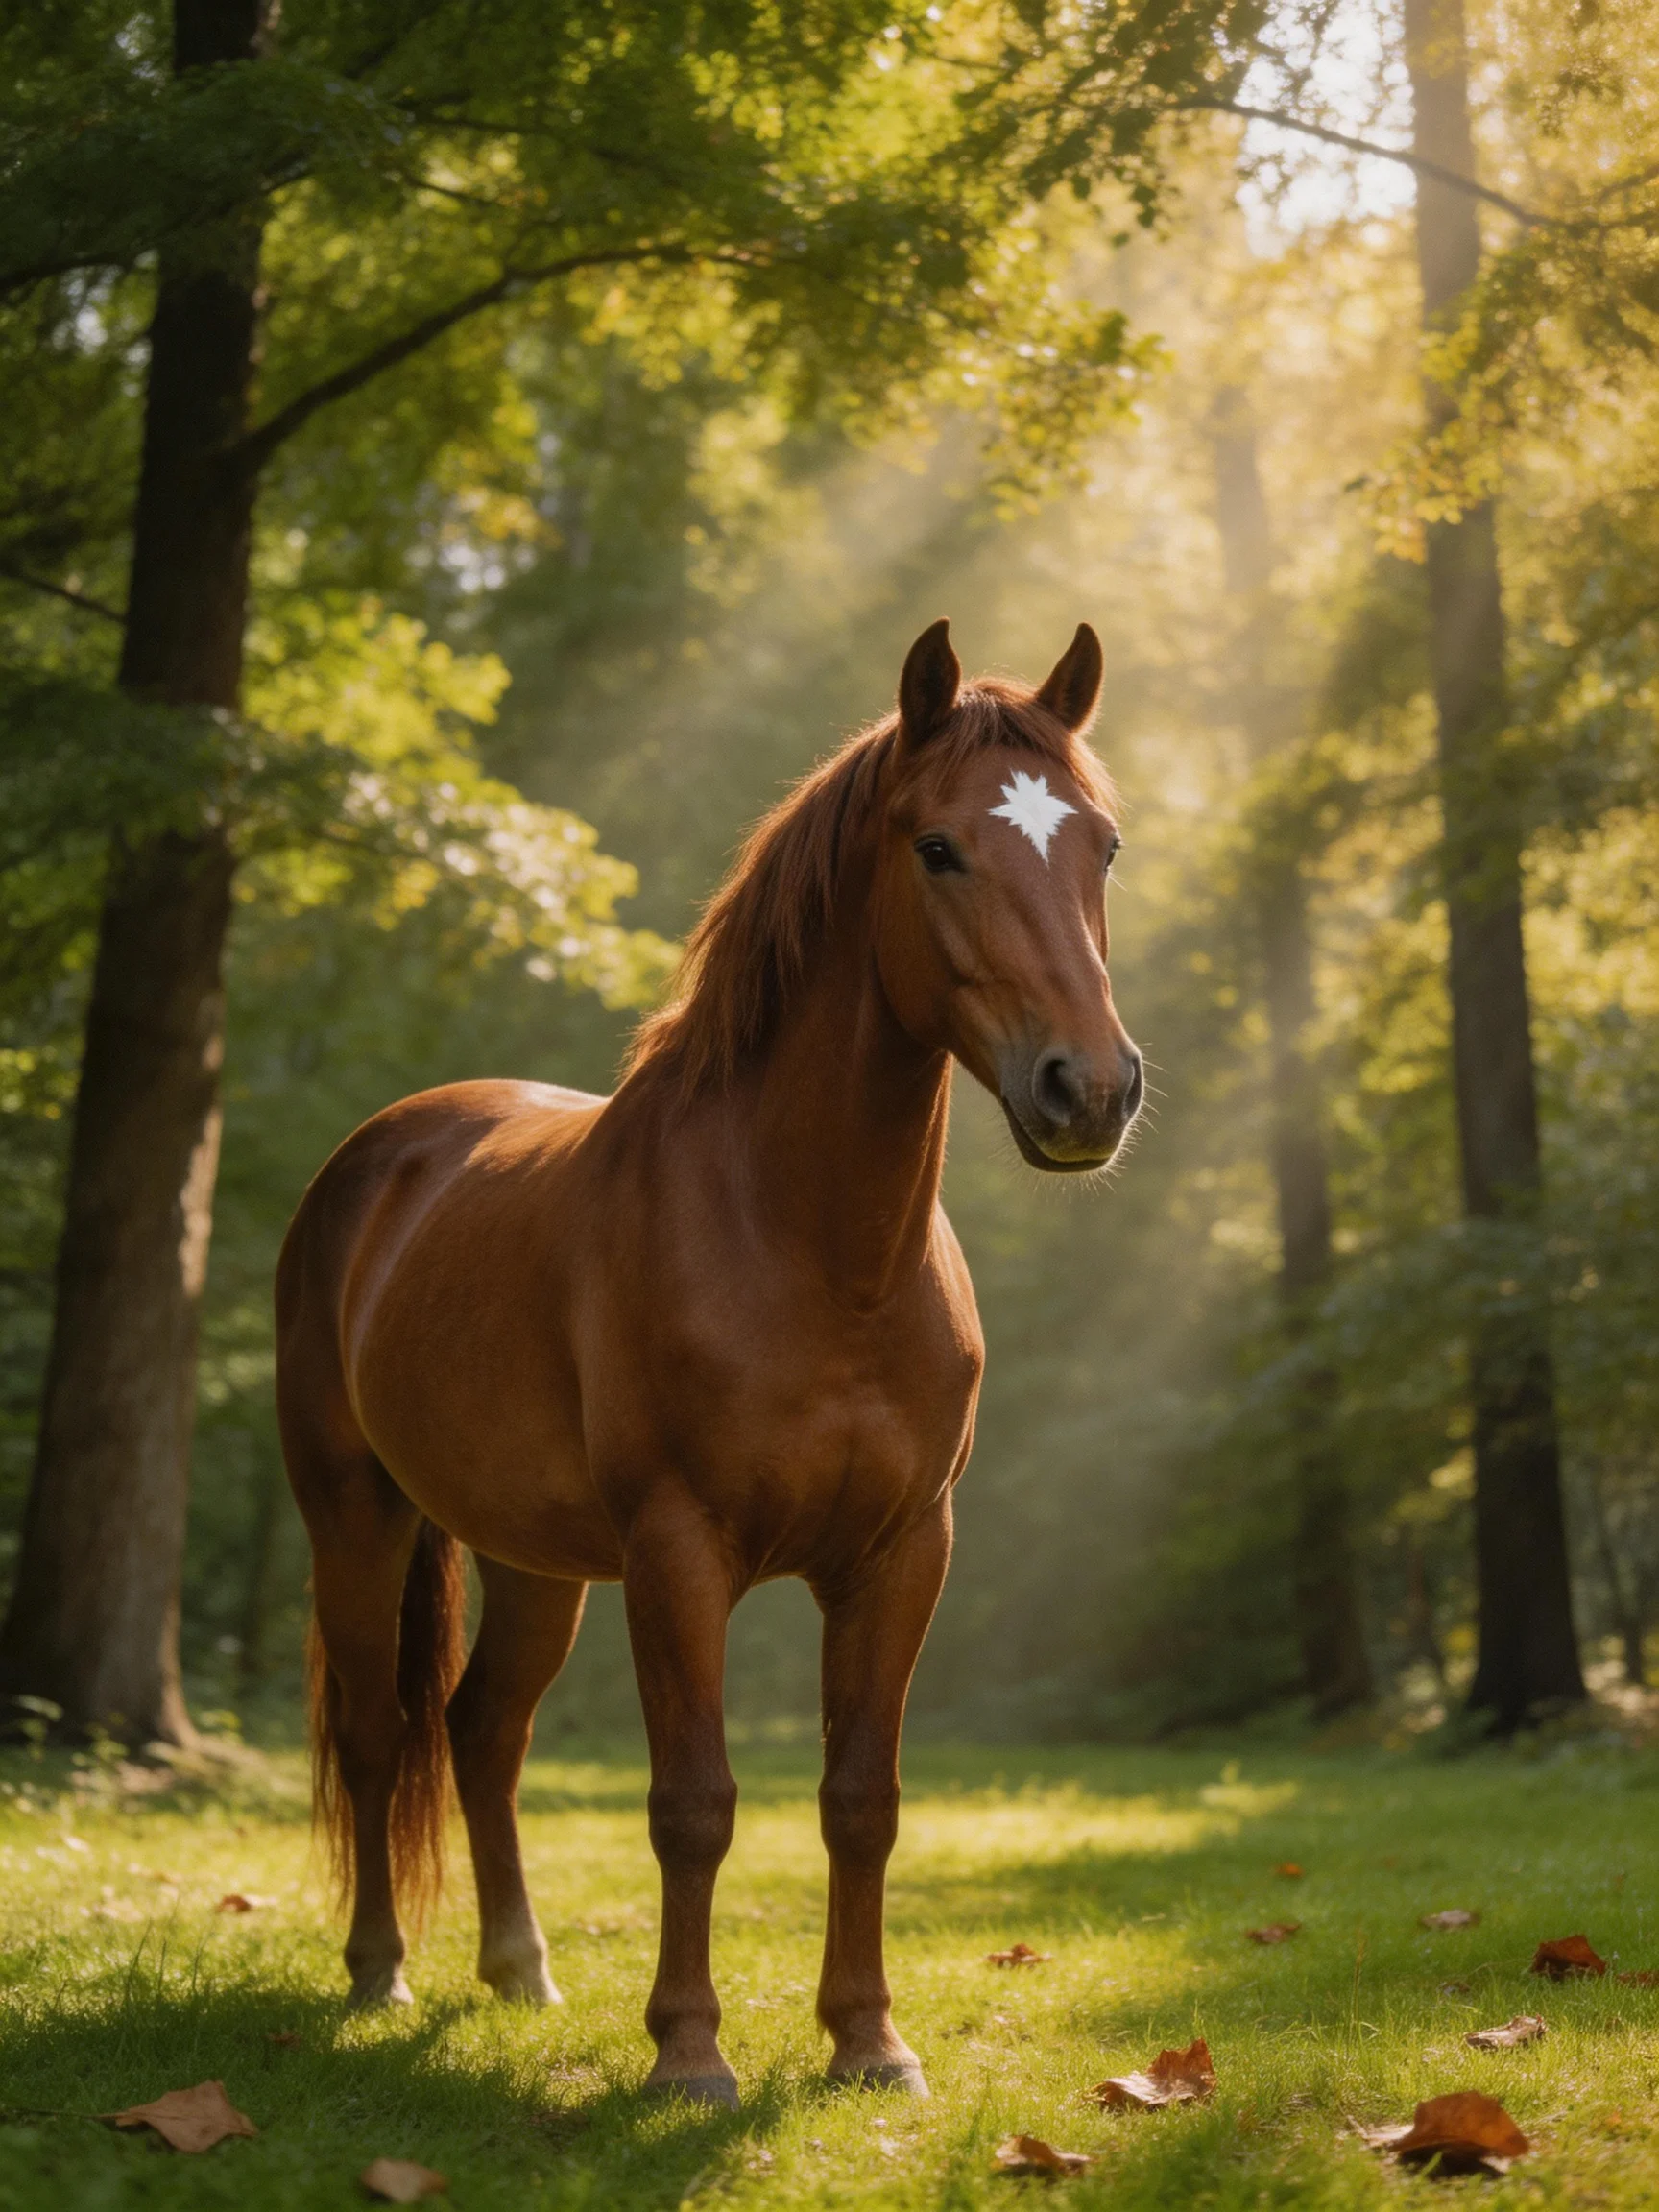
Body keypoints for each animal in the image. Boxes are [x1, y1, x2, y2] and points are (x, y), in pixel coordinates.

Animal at [275, 617, 1142, 2105]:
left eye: (1103, 844)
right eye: (940, 848)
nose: (1089, 1090)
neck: (814, 1250)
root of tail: (383, 1152)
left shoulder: (903, 1553)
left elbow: (861, 1799)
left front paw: (869, 2041)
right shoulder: (679, 1554)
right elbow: (693, 1805)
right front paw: (688, 2055)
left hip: (534, 1561)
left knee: (482, 1731)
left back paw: (521, 1970)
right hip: (357, 1518)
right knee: (385, 1738)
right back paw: (381, 1974)